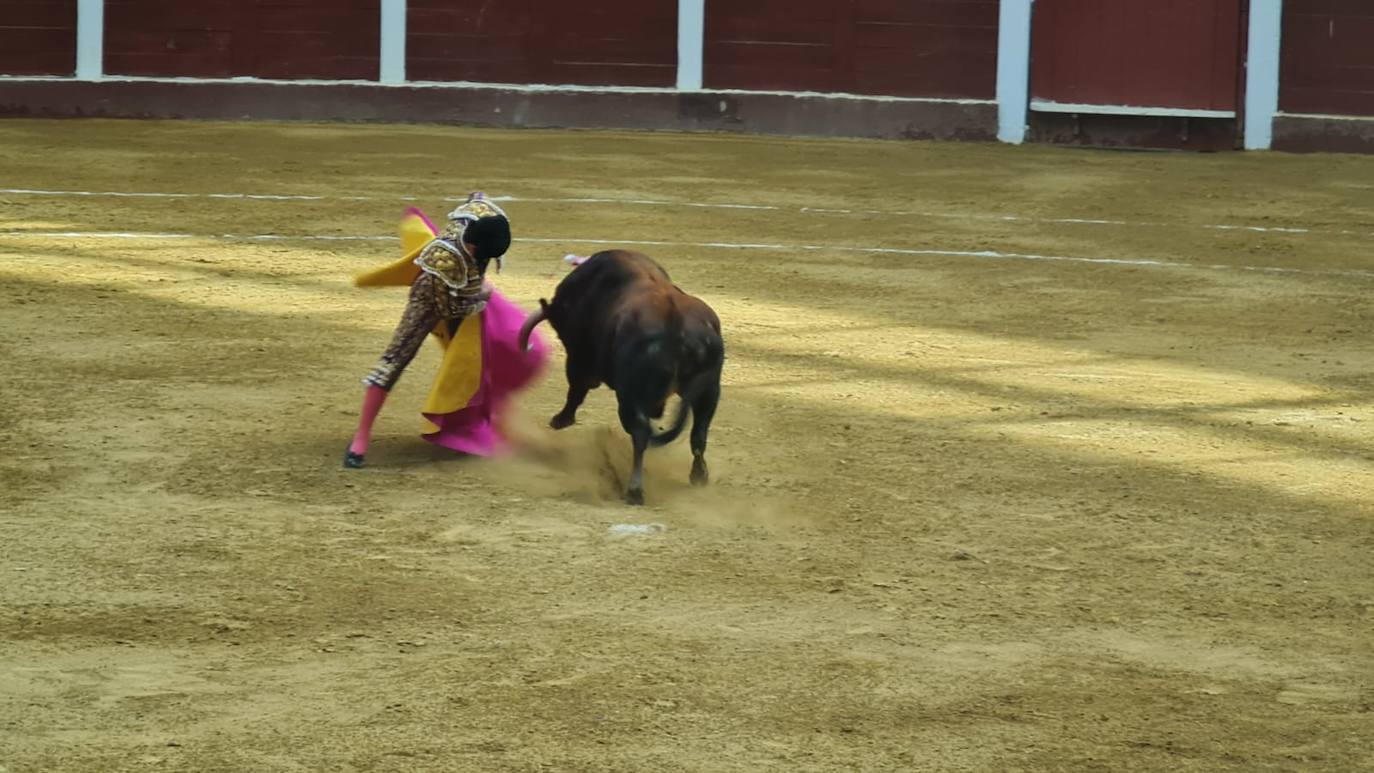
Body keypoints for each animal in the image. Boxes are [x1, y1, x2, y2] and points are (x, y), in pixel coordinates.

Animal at [516, 249, 730, 508]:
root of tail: (676, 324)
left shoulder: (580, 359)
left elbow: (576, 389)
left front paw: (561, 419)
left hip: (631, 394)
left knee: (640, 433)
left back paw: (635, 490)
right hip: (709, 390)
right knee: (698, 434)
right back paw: (699, 476)